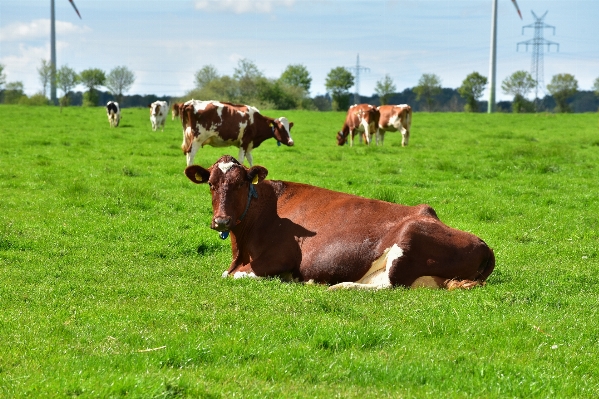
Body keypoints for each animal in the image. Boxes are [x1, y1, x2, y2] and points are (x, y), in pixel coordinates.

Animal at [186, 154, 496, 290]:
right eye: (211, 184)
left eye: (240, 183)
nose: (221, 220)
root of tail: (484, 244)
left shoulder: (279, 259)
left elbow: (234, 276)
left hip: (408, 239)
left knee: (390, 286)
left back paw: (338, 286)